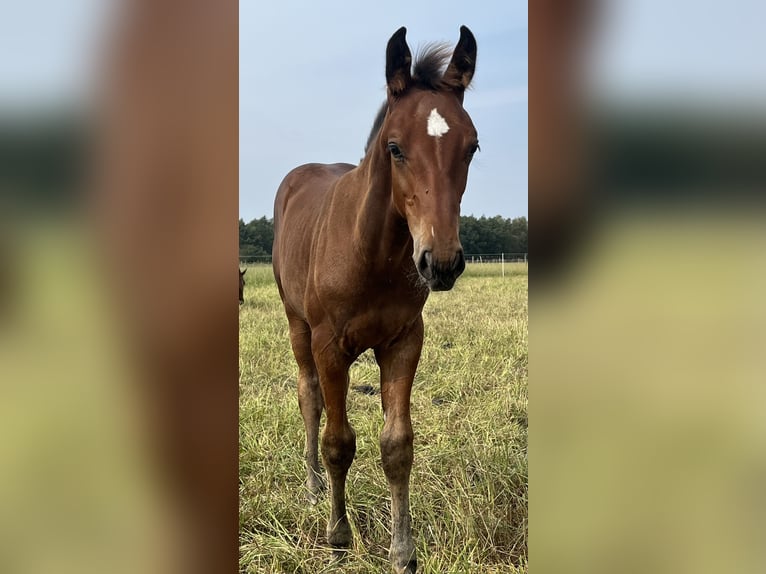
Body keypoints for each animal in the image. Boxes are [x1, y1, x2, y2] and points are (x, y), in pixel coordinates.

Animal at [272, 27, 476, 574]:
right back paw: (313, 488)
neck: (374, 256)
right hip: (298, 325)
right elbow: (338, 442)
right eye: (395, 148)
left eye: (472, 147)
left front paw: (402, 551)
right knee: (309, 397)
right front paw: (339, 536)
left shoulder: (404, 340)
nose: (441, 262)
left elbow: (397, 445)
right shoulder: (329, 345)